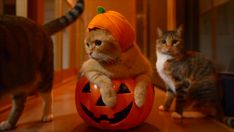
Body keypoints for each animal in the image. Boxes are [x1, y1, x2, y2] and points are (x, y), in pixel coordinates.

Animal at [0, 0, 84, 130]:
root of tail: (41, 26)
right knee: (21, 101)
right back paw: (9, 123)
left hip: (43, 73)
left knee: (47, 94)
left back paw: (47, 115)